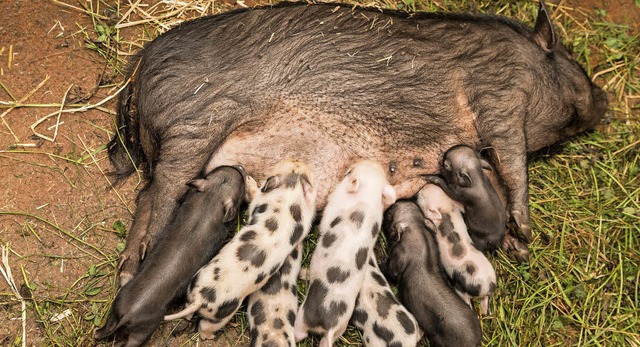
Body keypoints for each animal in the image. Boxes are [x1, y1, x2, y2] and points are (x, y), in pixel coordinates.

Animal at [110, 0, 608, 284]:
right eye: (573, 64)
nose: (606, 100)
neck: (527, 65)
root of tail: (139, 67)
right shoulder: (500, 99)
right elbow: (513, 164)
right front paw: (526, 231)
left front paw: (517, 247)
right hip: (192, 127)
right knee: (162, 194)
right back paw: (144, 262)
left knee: (144, 195)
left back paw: (128, 270)